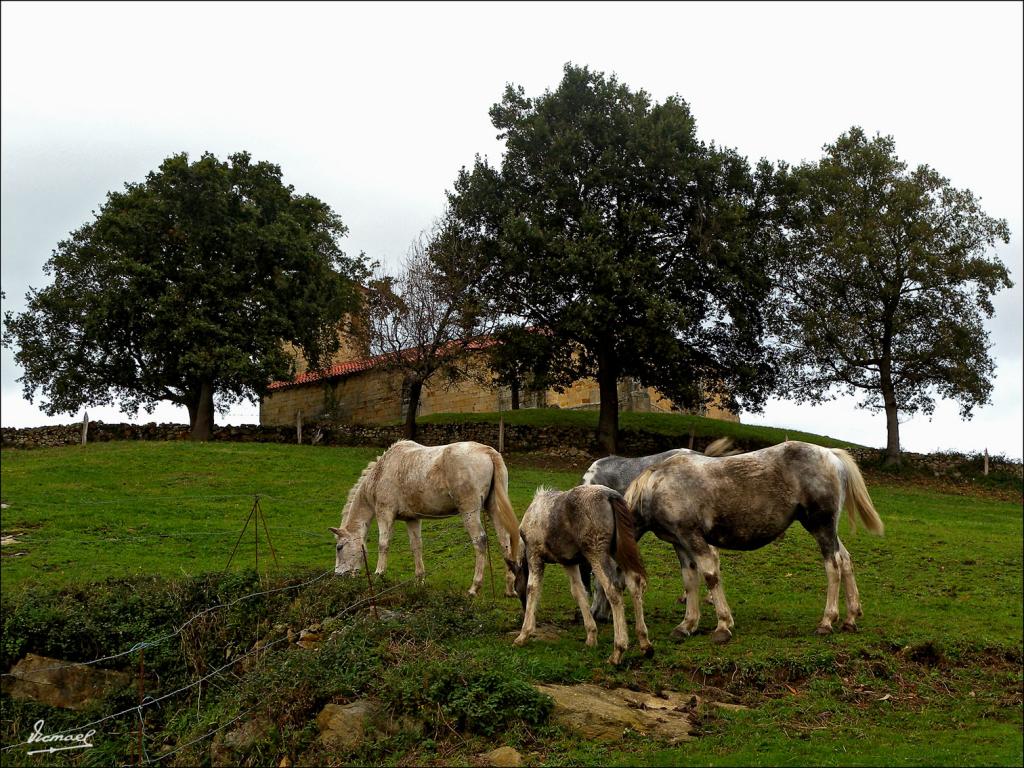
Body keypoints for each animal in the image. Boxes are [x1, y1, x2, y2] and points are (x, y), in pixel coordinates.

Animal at [329, 442, 520, 598]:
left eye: (339, 547)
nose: (338, 575)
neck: (381, 472)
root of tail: (487, 451)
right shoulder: (412, 519)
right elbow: (416, 547)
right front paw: (419, 581)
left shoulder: (385, 513)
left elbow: (383, 545)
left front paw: (379, 575)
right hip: (493, 507)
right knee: (504, 540)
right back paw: (509, 588)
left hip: (469, 512)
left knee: (480, 541)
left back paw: (474, 588)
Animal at [516, 487, 651, 667]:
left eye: (516, 590)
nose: (523, 608)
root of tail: (610, 495)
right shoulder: (569, 562)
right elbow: (578, 592)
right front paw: (591, 636)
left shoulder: (534, 554)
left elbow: (533, 589)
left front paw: (524, 634)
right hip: (618, 553)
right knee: (635, 583)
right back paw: (645, 644)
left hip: (596, 554)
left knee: (613, 591)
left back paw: (618, 651)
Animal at [622, 438, 880, 643]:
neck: (657, 485)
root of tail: (831, 454)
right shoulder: (680, 544)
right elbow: (690, 580)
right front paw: (687, 625)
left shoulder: (693, 538)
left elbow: (710, 575)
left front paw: (723, 625)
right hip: (828, 530)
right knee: (845, 560)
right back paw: (850, 618)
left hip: (821, 528)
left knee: (834, 566)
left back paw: (827, 621)